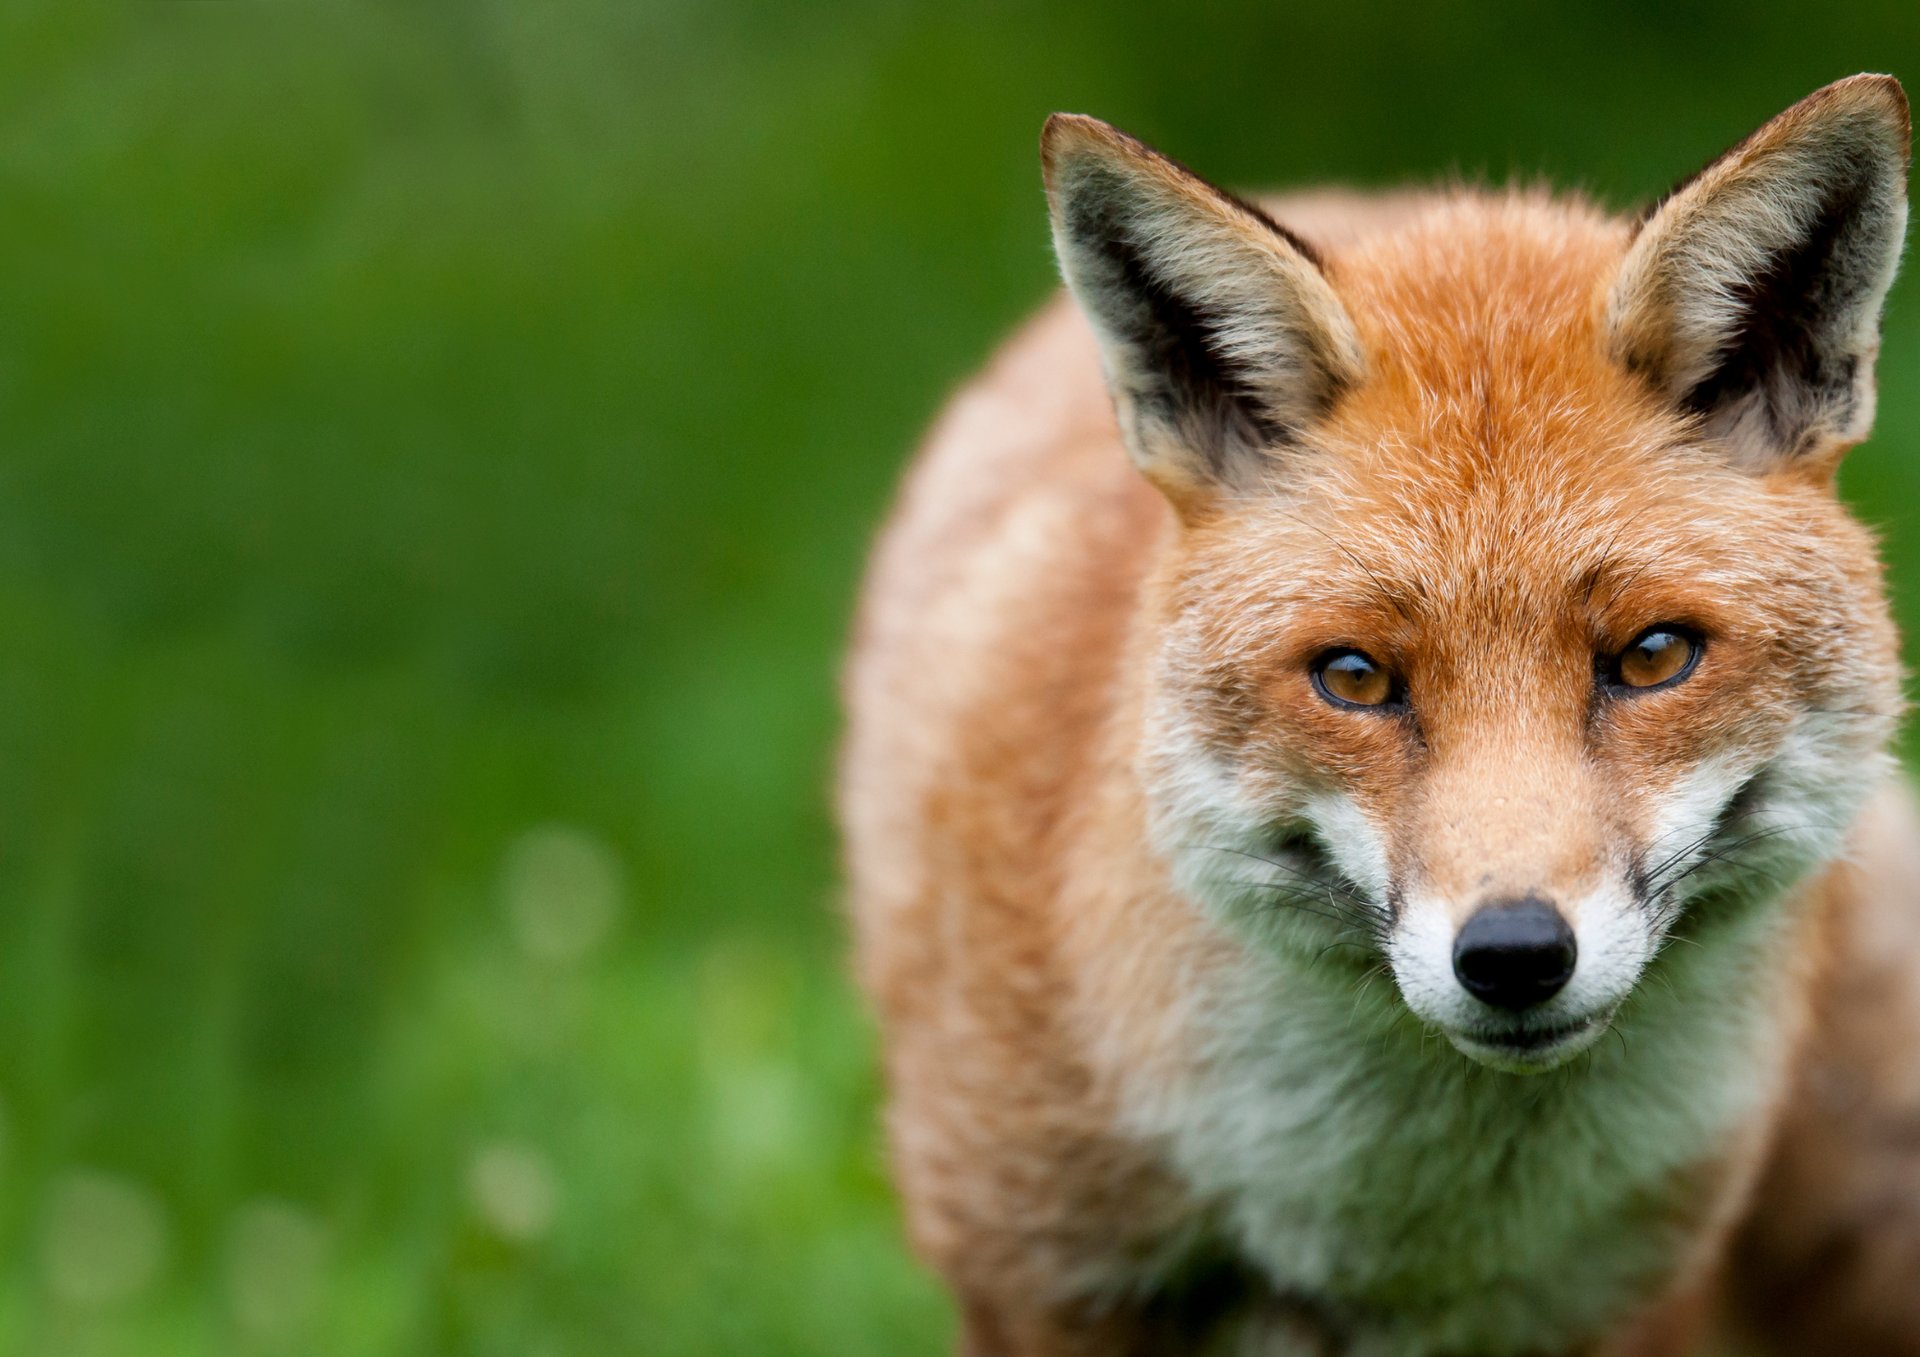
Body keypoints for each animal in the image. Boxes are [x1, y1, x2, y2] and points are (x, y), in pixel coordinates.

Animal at [839, 75, 1920, 1356]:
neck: (1400, 1256)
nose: (1514, 956)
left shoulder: (1633, 1300)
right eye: (1354, 678)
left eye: (1653, 656)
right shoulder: (1029, 1274)